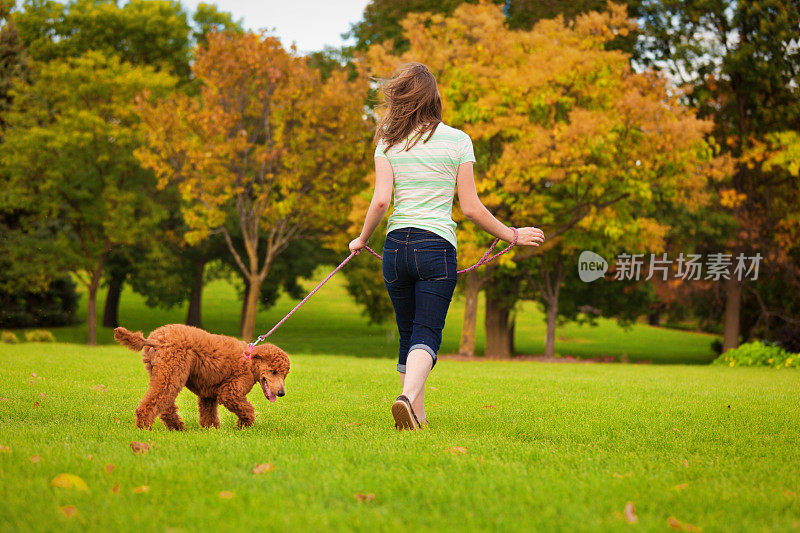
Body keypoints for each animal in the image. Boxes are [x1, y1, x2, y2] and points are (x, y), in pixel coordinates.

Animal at [111, 322, 290, 430]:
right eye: (274, 371)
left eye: (284, 375)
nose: (282, 393)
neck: (250, 362)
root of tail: (155, 340)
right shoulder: (230, 392)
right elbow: (246, 408)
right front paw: (245, 425)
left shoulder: (208, 394)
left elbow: (209, 413)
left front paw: (211, 430)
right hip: (173, 372)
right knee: (153, 403)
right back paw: (144, 427)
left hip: (163, 373)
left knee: (165, 405)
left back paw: (177, 427)